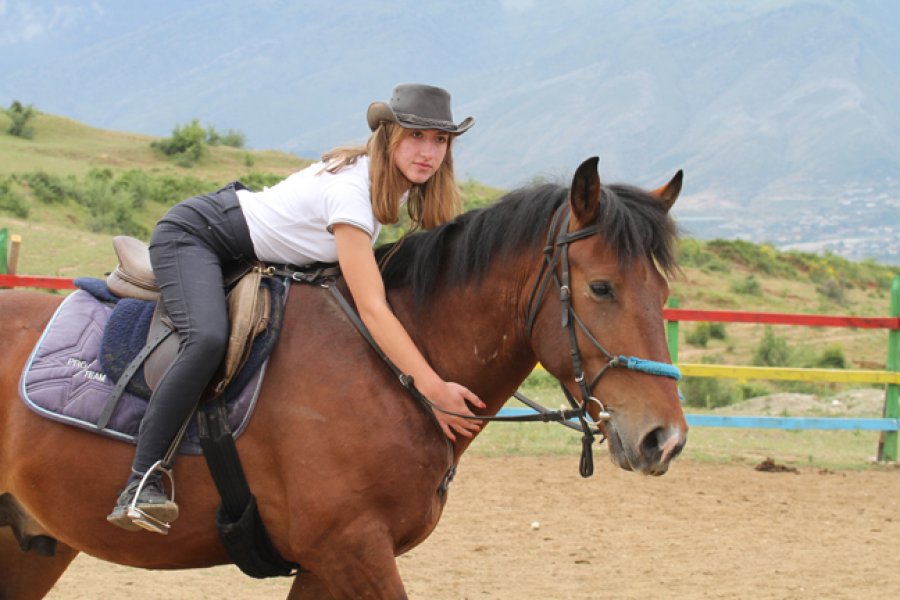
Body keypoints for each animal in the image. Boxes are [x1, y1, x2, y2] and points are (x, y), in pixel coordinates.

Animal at [1, 157, 688, 596]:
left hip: (30, 544)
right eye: (601, 287)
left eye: (661, 292)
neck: (395, 368)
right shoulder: (351, 550)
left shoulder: (325, 564)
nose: (666, 439)